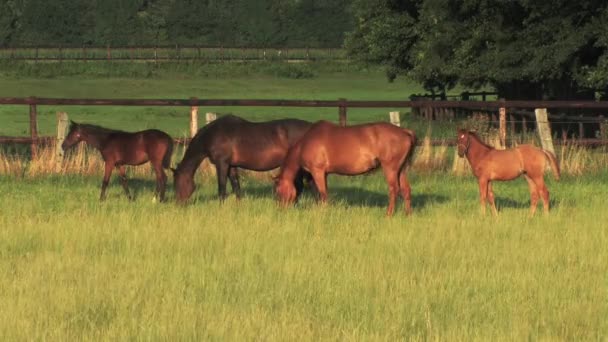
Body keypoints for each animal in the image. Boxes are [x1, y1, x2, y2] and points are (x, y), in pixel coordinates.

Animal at [172, 114, 312, 203]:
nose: (178, 204)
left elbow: (222, 188)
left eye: (177, 183)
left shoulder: (222, 163)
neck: (213, 134)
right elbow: (236, 188)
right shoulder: (231, 165)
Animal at [276, 121, 416, 216]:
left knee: (393, 190)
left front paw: (324, 211)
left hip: (390, 169)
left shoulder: (317, 171)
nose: (281, 210)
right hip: (401, 170)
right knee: (406, 189)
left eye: (278, 191)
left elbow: (322, 193)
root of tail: (405, 132)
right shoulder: (324, 174)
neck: (305, 143)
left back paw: (388, 214)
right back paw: (408, 214)